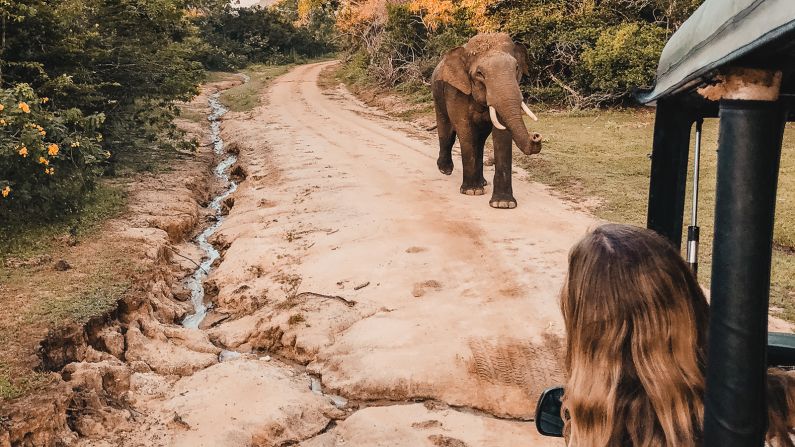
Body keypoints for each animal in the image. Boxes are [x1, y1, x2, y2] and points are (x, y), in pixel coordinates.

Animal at [432, 33, 544, 210]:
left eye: (516, 68)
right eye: (479, 73)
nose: (536, 136)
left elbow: (502, 134)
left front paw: (503, 204)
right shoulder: (455, 91)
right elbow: (464, 129)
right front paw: (472, 192)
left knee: (480, 140)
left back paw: (482, 182)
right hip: (437, 94)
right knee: (446, 130)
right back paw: (446, 170)